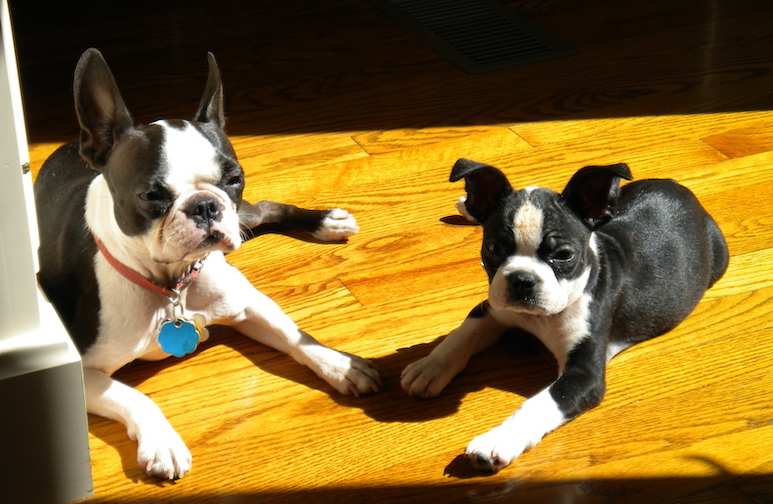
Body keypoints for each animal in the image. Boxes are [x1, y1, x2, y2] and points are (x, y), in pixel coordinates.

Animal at [36, 49, 380, 478]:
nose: (204, 204)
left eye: (234, 178)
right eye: (151, 195)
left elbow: (294, 336)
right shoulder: (82, 371)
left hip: (244, 217)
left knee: (266, 207)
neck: (170, 282)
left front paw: (338, 364)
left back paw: (325, 222)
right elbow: (133, 396)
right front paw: (163, 442)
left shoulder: (248, 304)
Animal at [402, 160, 728, 472]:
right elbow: (460, 336)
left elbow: (538, 404)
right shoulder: (492, 310)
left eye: (563, 255)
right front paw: (429, 367)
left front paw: (498, 441)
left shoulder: (584, 375)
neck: (539, 318)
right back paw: (467, 205)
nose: (522, 279)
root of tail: (677, 187)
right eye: (493, 248)